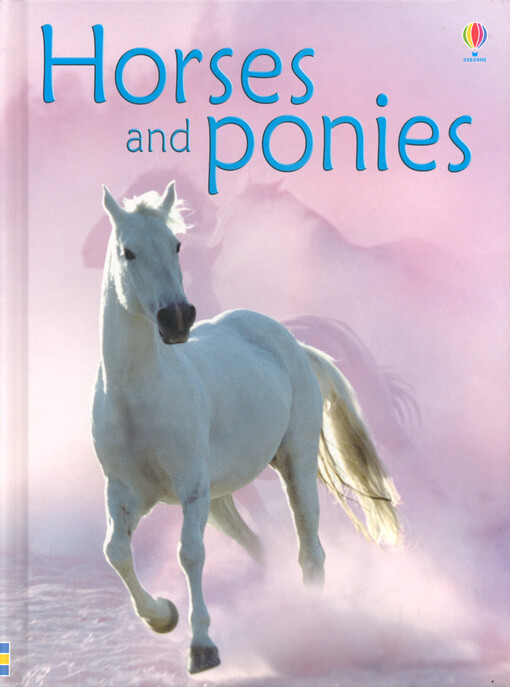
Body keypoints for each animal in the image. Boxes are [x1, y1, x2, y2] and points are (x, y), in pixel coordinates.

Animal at [91, 181, 401, 675]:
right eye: (128, 251)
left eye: (176, 244)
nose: (176, 319)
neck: (137, 397)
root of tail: (291, 342)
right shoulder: (128, 492)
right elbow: (116, 552)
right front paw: (163, 616)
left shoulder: (191, 490)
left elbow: (189, 554)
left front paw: (202, 648)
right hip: (220, 500)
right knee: (263, 547)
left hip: (294, 466)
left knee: (310, 552)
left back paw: (315, 626)